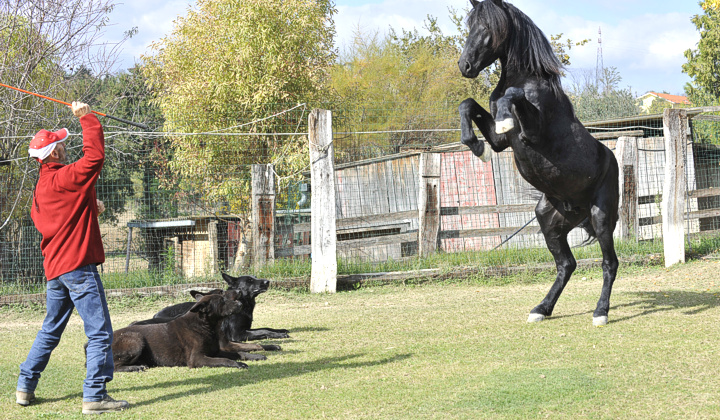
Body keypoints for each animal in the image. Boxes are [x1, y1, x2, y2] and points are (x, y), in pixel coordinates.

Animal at [113, 292, 282, 370]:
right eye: (222, 301)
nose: (240, 303)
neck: (205, 326)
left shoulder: (217, 350)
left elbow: (240, 352)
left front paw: (255, 356)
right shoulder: (197, 358)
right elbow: (226, 360)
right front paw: (238, 364)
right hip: (135, 340)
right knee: (114, 367)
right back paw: (135, 367)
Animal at [458, 0, 620, 324]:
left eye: (488, 27)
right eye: (471, 26)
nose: (464, 66)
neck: (527, 79)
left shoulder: (532, 134)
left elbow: (512, 95)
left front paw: (505, 117)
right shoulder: (501, 143)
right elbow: (468, 105)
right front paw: (476, 145)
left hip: (602, 216)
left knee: (609, 264)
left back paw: (600, 313)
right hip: (549, 220)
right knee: (566, 264)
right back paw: (541, 309)